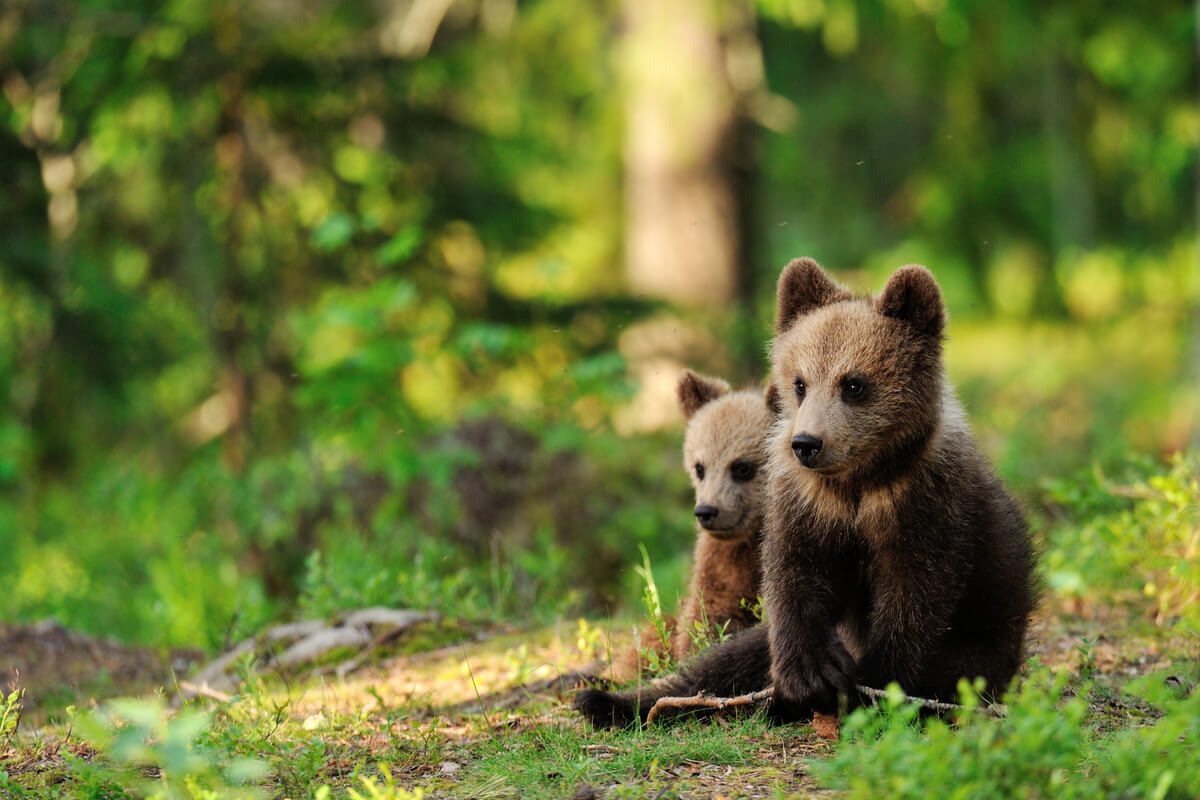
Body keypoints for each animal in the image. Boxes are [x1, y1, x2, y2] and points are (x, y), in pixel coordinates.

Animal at [609, 369, 770, 681]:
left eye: (742, 466)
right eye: (700, 467)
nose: (707, 511)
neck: (751, 537)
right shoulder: (721, 560)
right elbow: (707, 611)